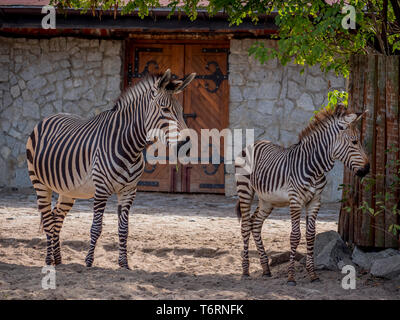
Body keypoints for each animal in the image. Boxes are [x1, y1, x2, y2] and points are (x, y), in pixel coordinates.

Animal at [26, 70, 195, 270]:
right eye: (165, 110)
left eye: (181, 111)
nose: (187, 145)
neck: (130, 147)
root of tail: (48, 117)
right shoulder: (101, 189)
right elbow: (96, 227)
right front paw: (89, 262)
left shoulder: (129, 191)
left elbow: (124, 229)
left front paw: (124, 263)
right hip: (40, 183)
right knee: (47, 219)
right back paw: (48, 261)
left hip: (67, 189)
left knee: (56, 217)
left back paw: (58, 260)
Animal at [234, 104, 368, 284]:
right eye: (354, 142)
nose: (367, 169)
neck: (315, 168)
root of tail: (253, 144)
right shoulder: (295, 200)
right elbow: (295, 235)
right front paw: (291, 277)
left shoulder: (315, 201)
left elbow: (310, 235)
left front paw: (313, 274)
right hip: (245, 190)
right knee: (245, 225)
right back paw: (245, 271)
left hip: (267, 200)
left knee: (255, 224)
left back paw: (266, 269)